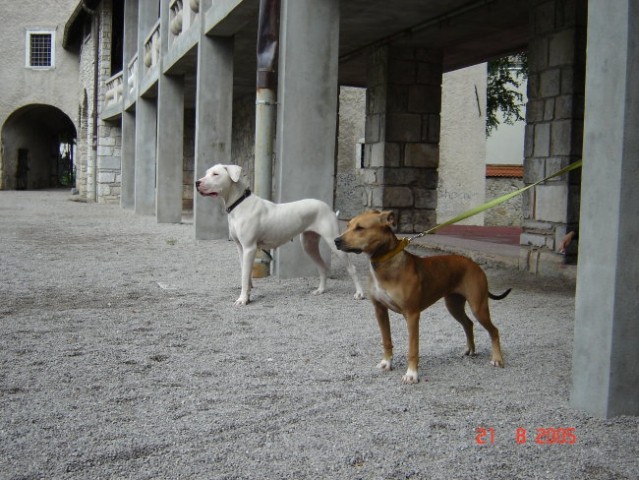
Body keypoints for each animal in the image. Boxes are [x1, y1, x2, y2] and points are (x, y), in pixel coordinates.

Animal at [195, 165, 364, 306]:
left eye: (215, 174)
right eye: (207, 173)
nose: (197, 182)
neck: (240, 203)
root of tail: (328, 208)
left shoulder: (249, 248)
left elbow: (244, 276)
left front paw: (242, 300)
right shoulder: (240, 248)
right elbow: (245, 274)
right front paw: (247, 297)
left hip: (334, 243)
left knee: (352, 268)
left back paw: (359, 293)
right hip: (309, 245)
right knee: (322, 267)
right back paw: (320, 290)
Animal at [336, 212, 510, 384]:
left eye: (360, 228)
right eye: (348, 226)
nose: (336, 241)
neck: (386, 264)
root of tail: (475, 265)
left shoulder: (412, 315)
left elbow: (413, 348)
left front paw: (411, 374)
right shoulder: (380, 310)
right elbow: (386, 340)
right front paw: (386, 363)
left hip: (478, 307)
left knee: (494, 330)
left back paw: (497, 359)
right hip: (454, 306)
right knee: (468, 324)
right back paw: (470, 349)